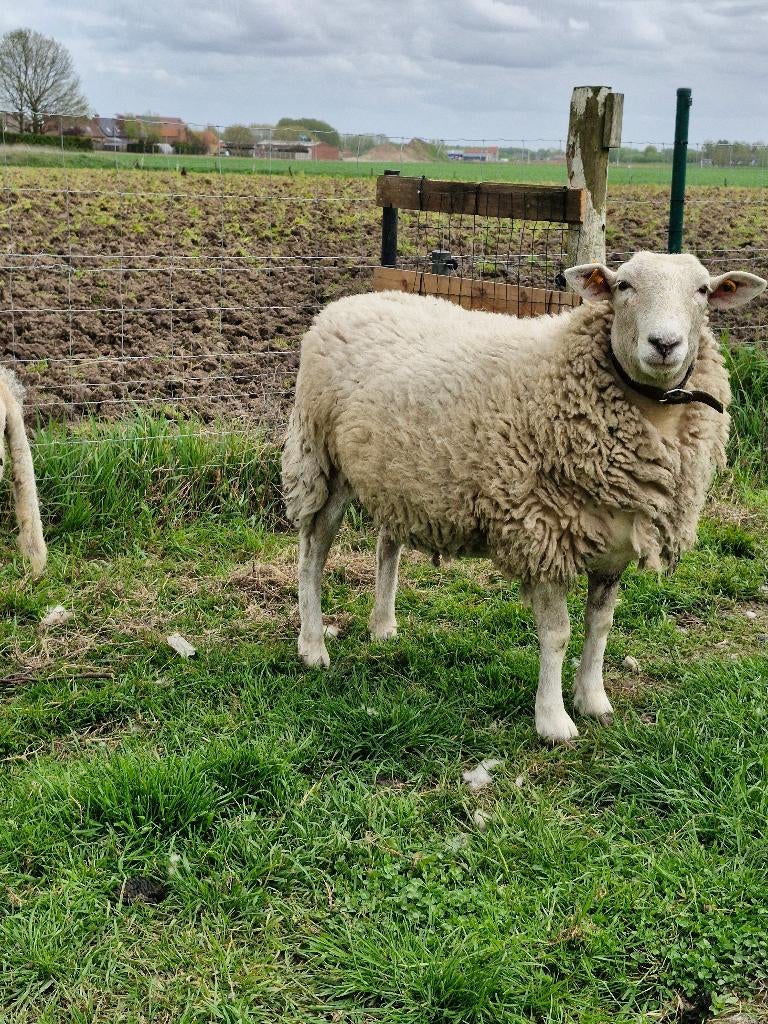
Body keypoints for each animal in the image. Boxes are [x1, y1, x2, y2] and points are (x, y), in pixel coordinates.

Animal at [281, 251, 766, 742]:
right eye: (623, 286)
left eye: (702, 290)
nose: (664, 343)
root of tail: (348, 302)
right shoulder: (543, 530)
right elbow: (557, 635)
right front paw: (553, 720)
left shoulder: (614, 541)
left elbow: (600, 625)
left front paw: (593, 700)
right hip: (321, 459)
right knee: (313, 552)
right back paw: (313, 646)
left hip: (396, 474)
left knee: (387, 544)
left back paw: (382, 627)